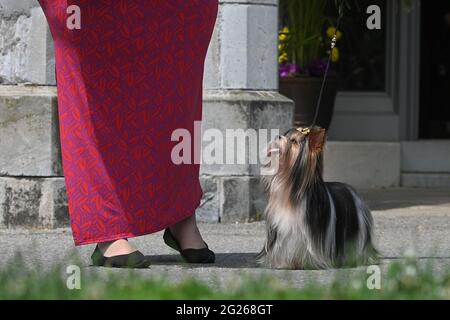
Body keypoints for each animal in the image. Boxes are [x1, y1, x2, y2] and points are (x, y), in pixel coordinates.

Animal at [256, 126, 376, 268]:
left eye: (294, 141)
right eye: (285, 135)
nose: (278, 136)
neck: (288, 186)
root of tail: (352, 190)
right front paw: (285, 263)